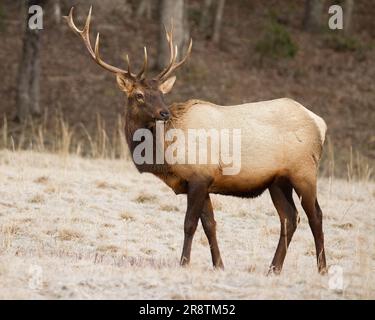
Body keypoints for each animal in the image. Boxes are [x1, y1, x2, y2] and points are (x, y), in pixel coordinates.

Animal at [66, 6, 328, 274]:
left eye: (161, 94)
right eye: (139, 95)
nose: (164, 113)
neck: (163, 155)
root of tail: (319, 122)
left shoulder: (199, 177)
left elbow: (190, 223)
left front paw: (184, 262)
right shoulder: (202, 182)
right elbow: (210, 224)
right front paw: (219, 265)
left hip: (304, 171)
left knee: (315, 215)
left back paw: (322, 269)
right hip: (277, 180)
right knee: (289, 218)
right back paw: (273, 269)